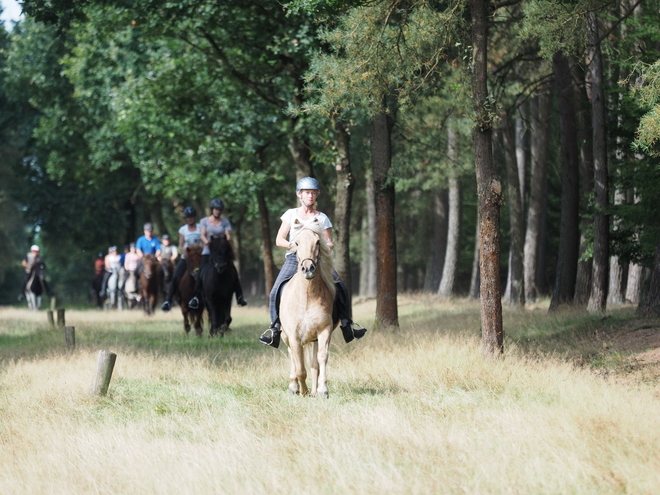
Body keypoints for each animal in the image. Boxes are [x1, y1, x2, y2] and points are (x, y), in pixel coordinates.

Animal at [280, 227, 338, 398]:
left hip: (314, 339)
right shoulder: (294, 336)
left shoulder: (324, 330)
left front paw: (322, 390)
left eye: (318, 242)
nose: (308, 269)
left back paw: (313, 390)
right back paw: (294, 387)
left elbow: (322, 358)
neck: (307, 297)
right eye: (296, 243)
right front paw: (303, 391)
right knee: (292, 356)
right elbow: (300, 368)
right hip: (285, 336)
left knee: (314, 364)